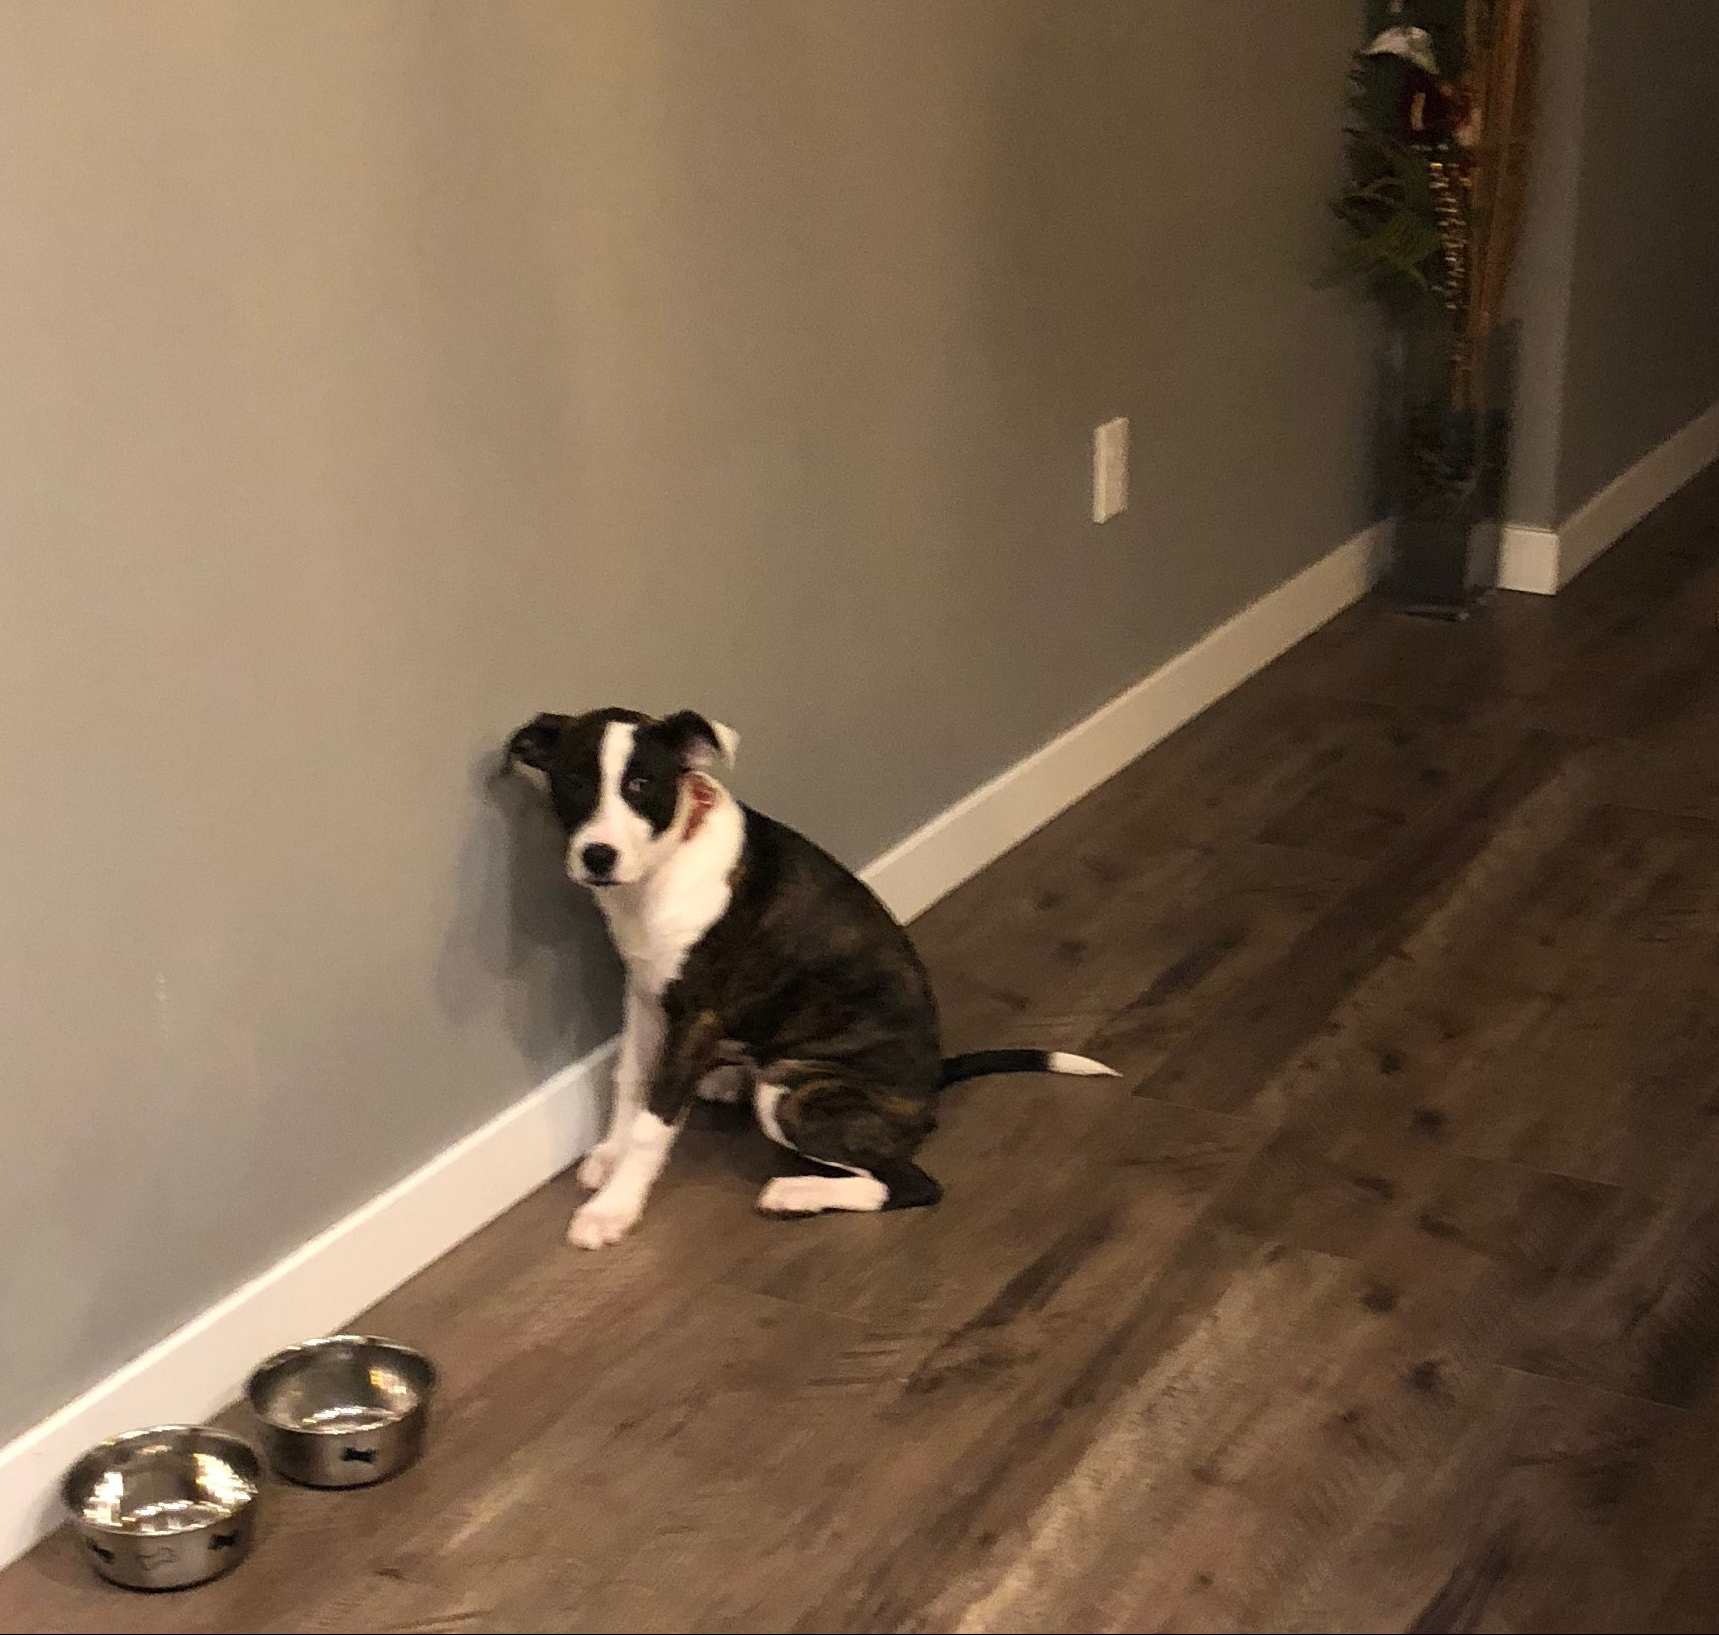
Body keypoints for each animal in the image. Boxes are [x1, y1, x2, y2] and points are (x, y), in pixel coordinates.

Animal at [506, 707, 1117, 1249]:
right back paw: (729, 1081)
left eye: (641, 784)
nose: (598, 856)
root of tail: (931, 1085)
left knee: (910, 1183)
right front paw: (608, 1156)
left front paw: (612, 1211)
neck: (667, 860)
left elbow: (653, 1124)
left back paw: (794, 1192)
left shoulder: (696, 1012)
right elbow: (630, 1079)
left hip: (793, 1098)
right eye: (573, 783)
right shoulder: (645, 994)